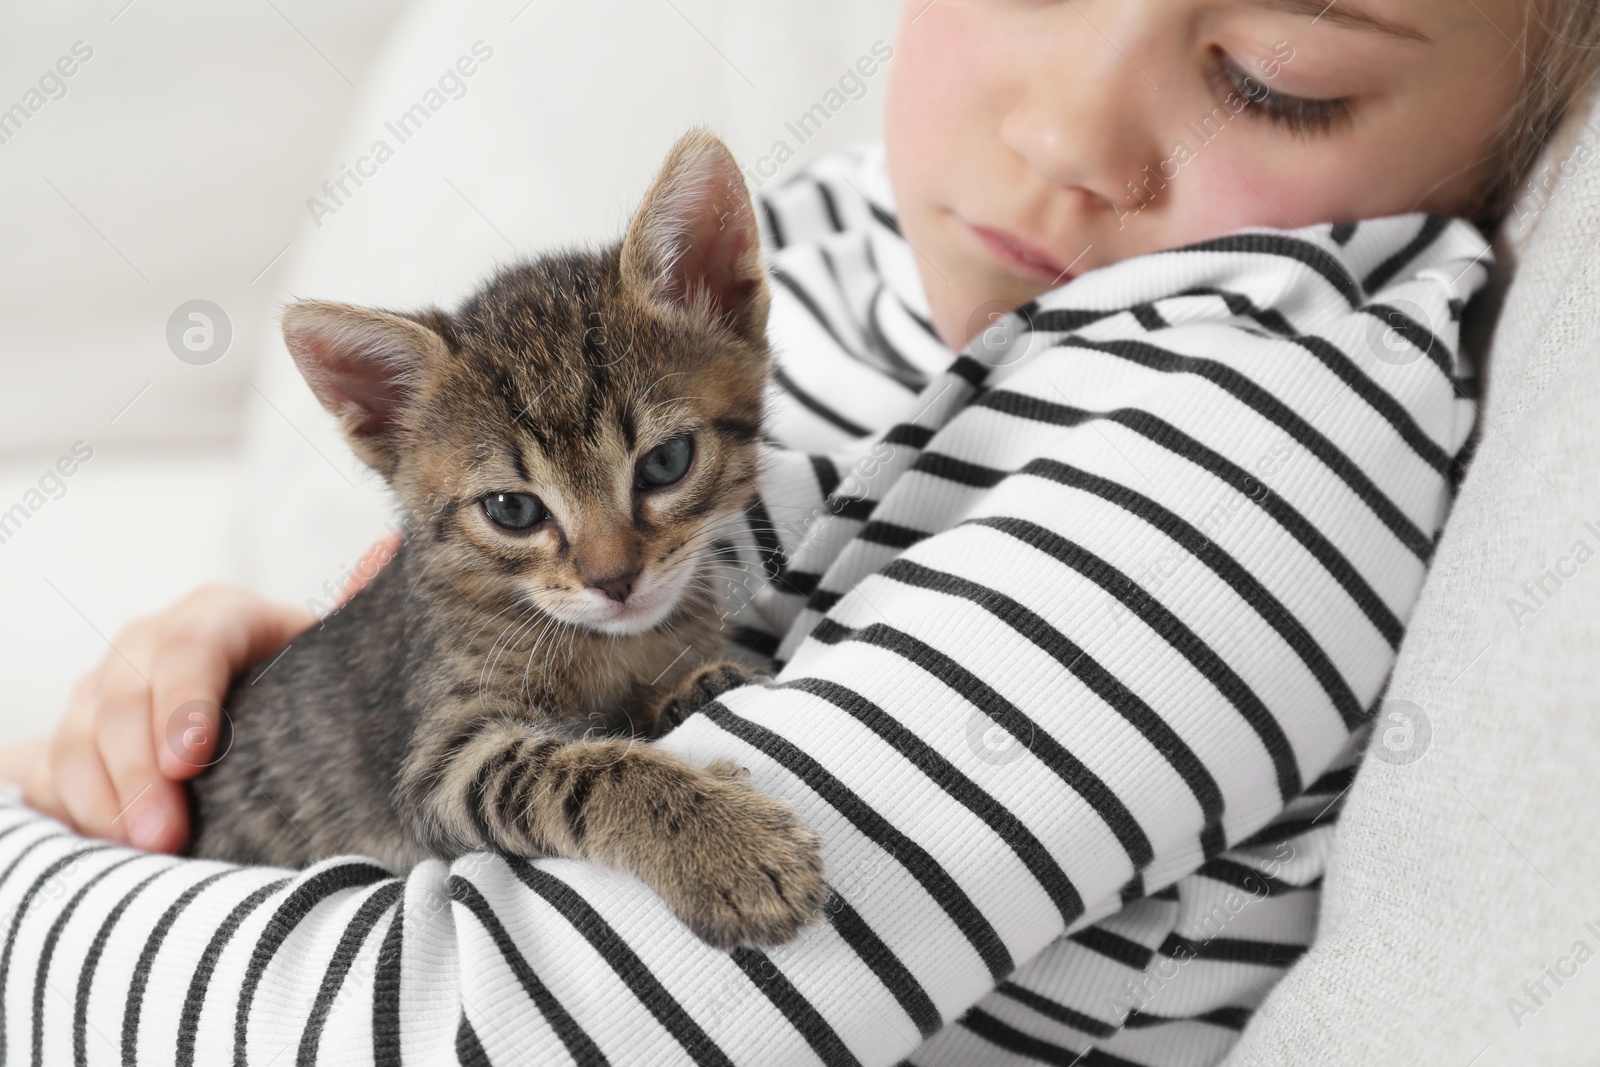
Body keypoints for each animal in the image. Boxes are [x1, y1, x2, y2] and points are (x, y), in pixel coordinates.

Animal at [190, 127, 825, 953]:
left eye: (666, 462)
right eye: (513, 509)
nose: (614, 578)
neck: (612, 647)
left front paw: (701, 684)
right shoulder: (440, 763)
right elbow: (579, 770)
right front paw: (726, 843)